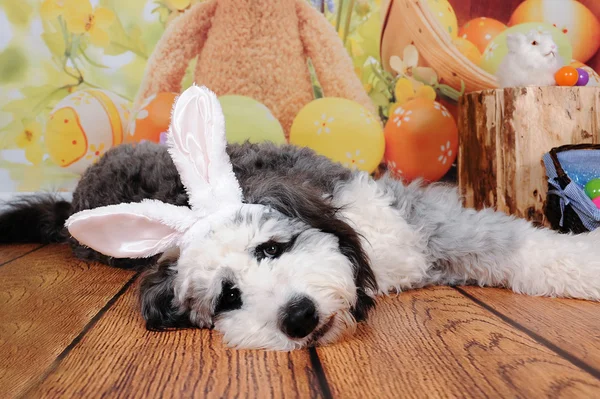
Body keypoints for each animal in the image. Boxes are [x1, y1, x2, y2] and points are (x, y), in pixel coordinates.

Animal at [1, 86, 600, 352]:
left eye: (271, 248)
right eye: (228, 297)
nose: (298, 316)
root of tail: (73, 202)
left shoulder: (417, 220)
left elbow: (518, 245)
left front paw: (585, 264)